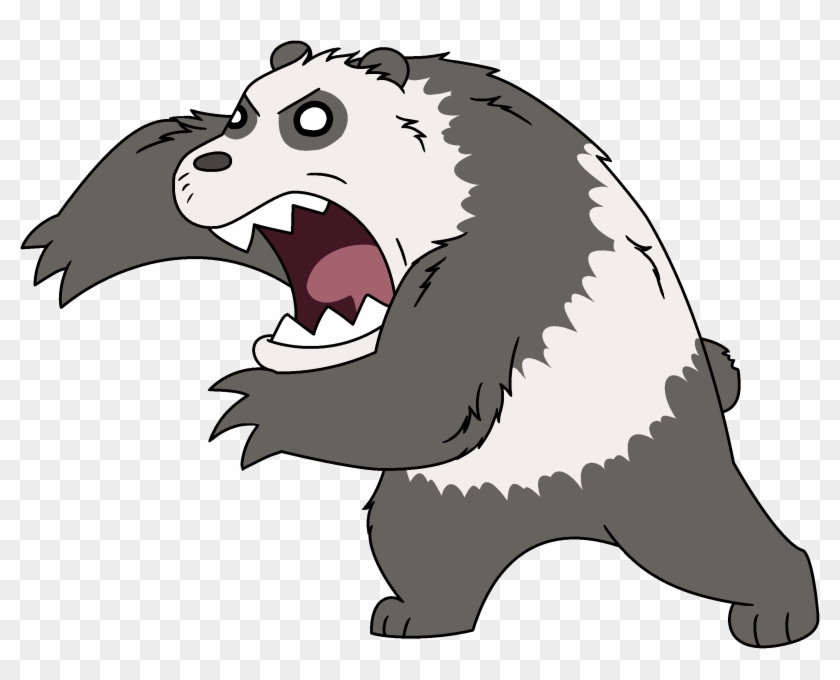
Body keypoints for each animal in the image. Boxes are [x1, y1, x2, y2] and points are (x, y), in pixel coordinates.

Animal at [22, 41, 818, 646]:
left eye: (314, 118)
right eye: (244, 115)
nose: (212, 166)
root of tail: (567, 514)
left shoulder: (505, 247)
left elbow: (430, 388)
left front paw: (260, 403)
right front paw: (80, 232)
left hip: (653, 464)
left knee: (716, 543)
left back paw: (778, 610)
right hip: (441, 498)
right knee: (425, 554)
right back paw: (419, 615)